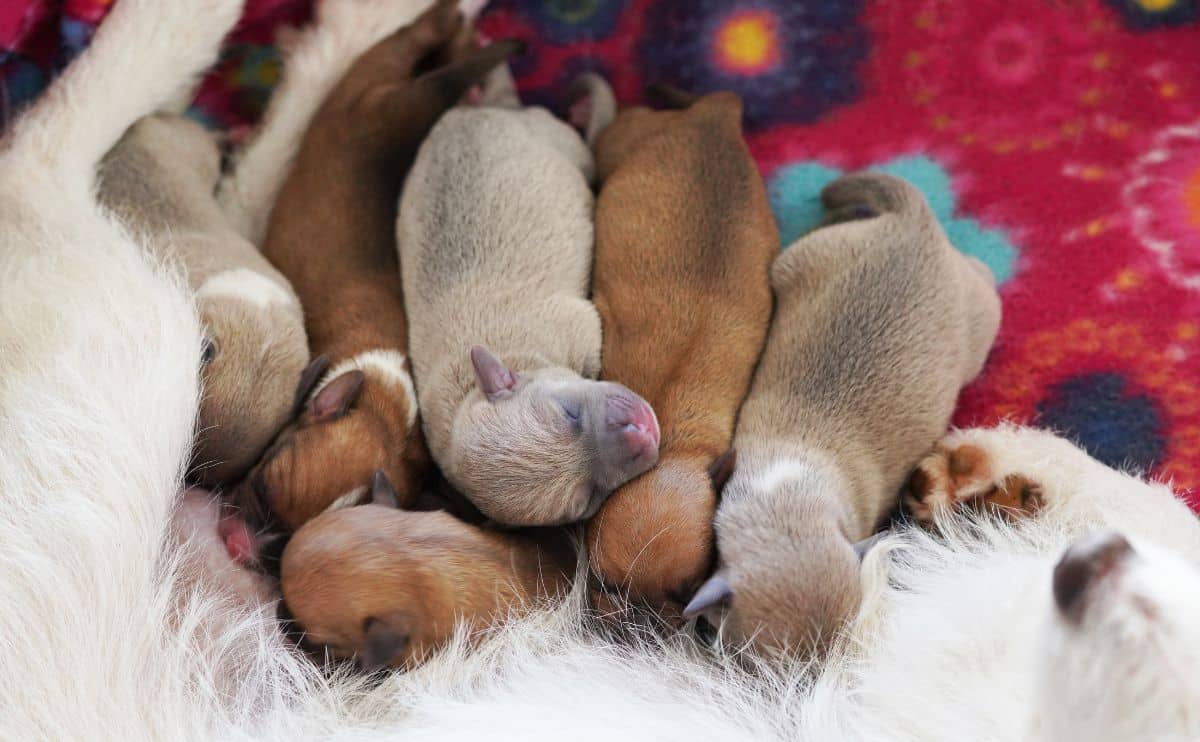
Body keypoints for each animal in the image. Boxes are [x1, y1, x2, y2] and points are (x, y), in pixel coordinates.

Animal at [231, 0, 518, 530]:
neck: (384, 397)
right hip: (380, 75)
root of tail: (410, 110)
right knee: (428, 36)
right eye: (260, 485)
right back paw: (460, 27)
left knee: (442, 46)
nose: (239, 539)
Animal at [398, 65, 662, 525]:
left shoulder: (577, 329)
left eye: (569, 414)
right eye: (587, 498)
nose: (641, 431)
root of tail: (491, 110)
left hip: (553, 138)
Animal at [580, 76, 777, 619]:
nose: (638, 627)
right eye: (602, 583)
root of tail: (716, 115)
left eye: (688, 592)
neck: (669, 445)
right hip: (625, 139)